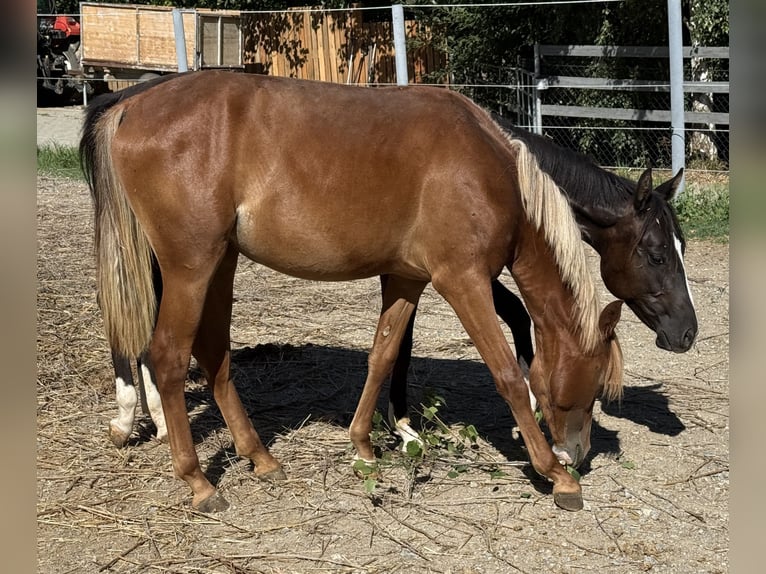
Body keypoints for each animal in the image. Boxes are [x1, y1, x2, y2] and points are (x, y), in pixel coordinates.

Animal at [81, 70, 623, 512]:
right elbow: (508, 374)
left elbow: (382, 356)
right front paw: (555, 476)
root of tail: (130, 106)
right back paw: (199, 482)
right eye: (595, 384)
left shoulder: (407, 279)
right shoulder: (464, 282)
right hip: (190, 267)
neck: (488, 169)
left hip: (221, 263)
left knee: (214, 355)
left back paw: (260, 457)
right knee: (168, 357)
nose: (577, 455)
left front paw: (363, 445)